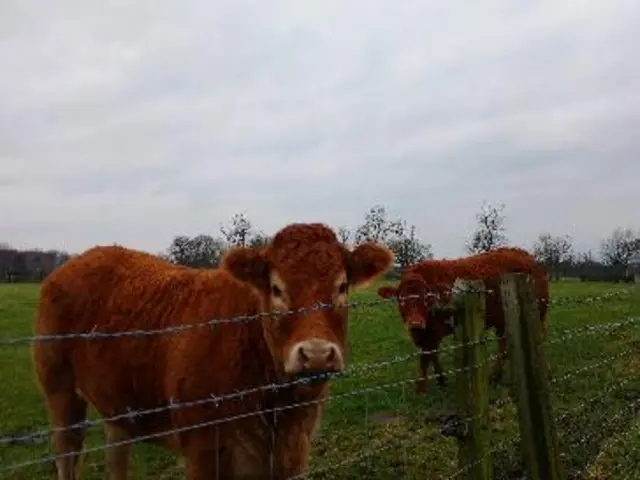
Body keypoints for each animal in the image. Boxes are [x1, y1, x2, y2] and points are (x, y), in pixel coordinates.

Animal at [31, 224, 396, 480]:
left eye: (342, 286)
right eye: (276, 288)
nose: (317, 353)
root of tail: (82, 258)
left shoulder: (292, 455)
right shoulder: (203, 452)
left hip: (117, 403)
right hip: (59, 390)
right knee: (65, 454)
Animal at [376, 248, 552, 394]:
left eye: (426, 299)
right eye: (401, 300)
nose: (415, 324)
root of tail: (526, 256)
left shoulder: (433, 333)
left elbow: (426, 358)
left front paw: (421, 389)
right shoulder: (425, 335)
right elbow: (432, 355)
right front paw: (441, 380)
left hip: (537, 313)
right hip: (503, 321)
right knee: (504, 344)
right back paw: (497, 376)